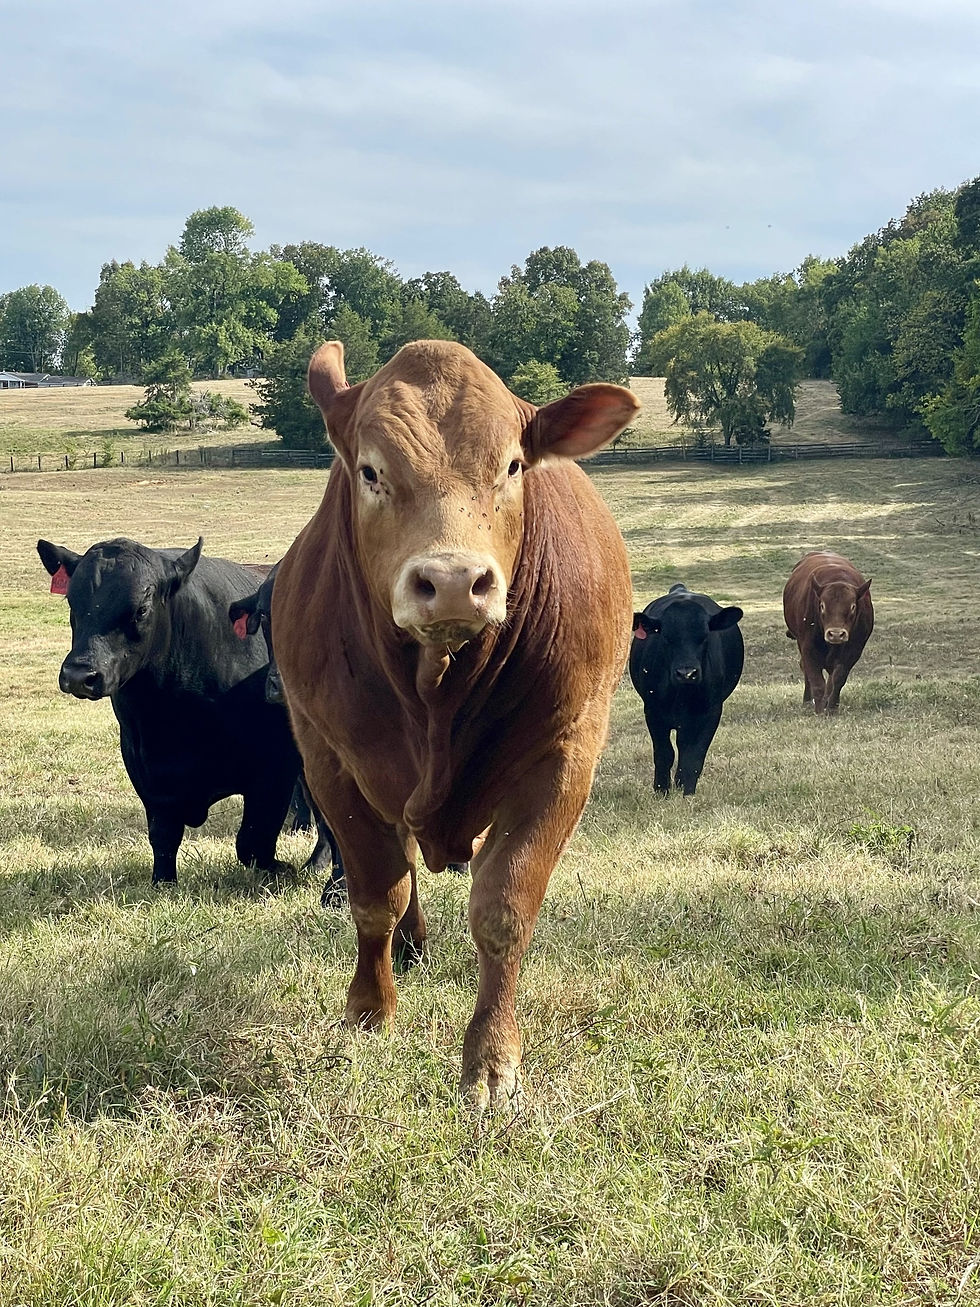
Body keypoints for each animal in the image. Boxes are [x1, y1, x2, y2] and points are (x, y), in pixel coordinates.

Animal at [37, 536, 303, 885]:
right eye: (72, 601)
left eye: (141, 609)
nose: (80, 675)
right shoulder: (145, 769)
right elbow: (163, 836)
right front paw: (163, 881)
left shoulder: (275, 767)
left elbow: (253, 840)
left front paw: (283, 869)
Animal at [271, 339, 638, 1112]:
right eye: (371, 470)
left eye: (513, 465)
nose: (450, 582)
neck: (436, 691)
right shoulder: (328, 758)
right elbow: (376, 894)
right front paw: (369, 1012)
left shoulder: (565, 755)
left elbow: (504, 906)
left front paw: (492, 1062)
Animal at [629, 583, 744, 796]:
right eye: (666, 637)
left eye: (705, 636)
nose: (686, 673)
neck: (681, 696)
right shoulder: (652, 711)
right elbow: (664, 753)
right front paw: (661, 791)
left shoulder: (710, 713)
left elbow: (694, 755)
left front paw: (687, 791)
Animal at [783, 551, 874, 715]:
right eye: (822, 605)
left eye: (853, 606)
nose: (836, 634)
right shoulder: (808, 648)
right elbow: (817, 681)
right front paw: (819, 710)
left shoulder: (854, 650)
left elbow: (837, 680)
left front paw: (831, 707)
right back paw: (808, 700)